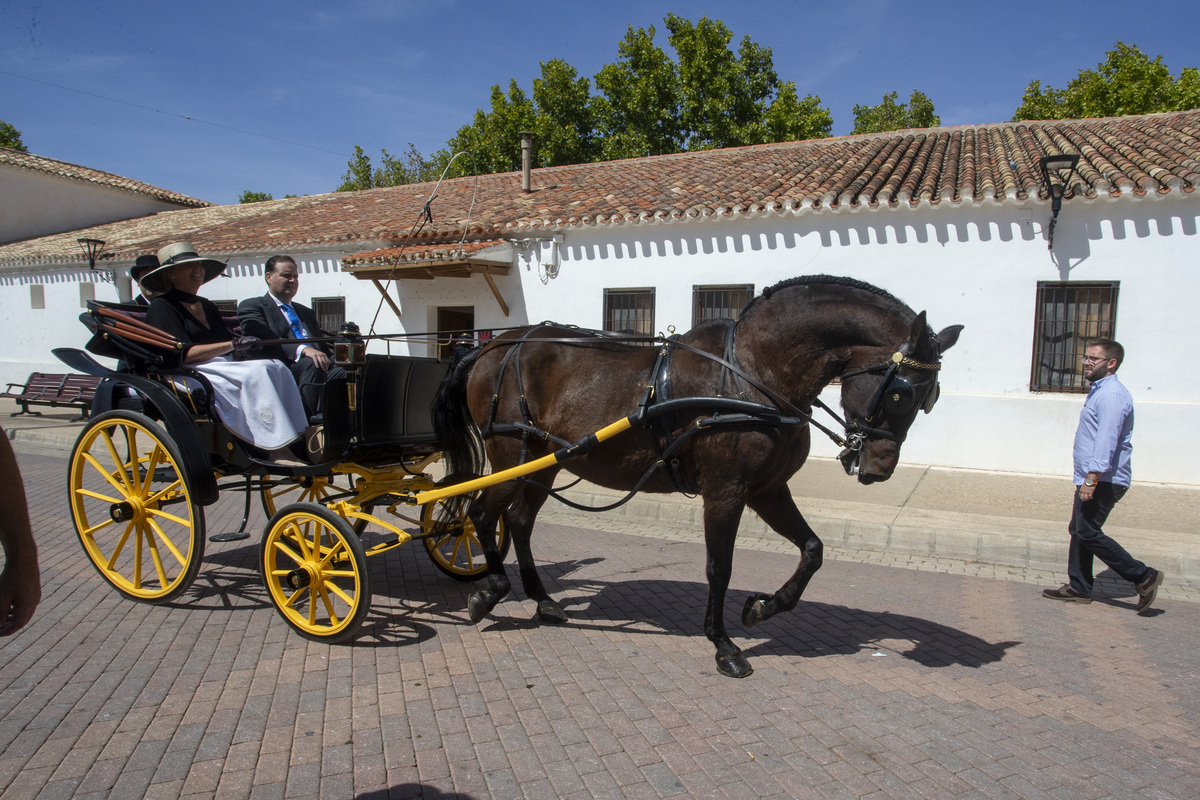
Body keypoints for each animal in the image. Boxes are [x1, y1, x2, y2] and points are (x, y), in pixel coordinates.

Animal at [436, 273, 960, 676]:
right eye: (902, 393)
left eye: (930, 397)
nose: (878, 468)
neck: (752, 373)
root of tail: (497, 346)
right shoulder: (726, 491)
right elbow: (719, 568)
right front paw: (723, 644)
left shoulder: (767, 490)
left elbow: (813, 550)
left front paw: (763, 607)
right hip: (511, 459)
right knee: (482, 516)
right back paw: (490, 592)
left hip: (544, 464)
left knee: (519, 522)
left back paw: (542, 600)